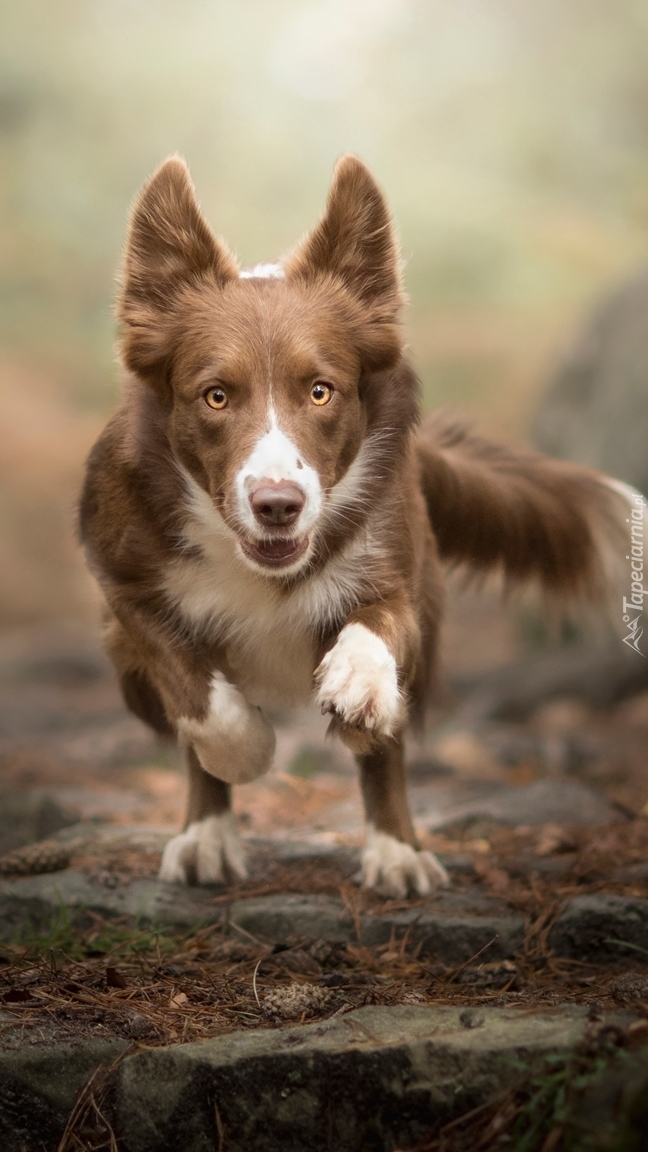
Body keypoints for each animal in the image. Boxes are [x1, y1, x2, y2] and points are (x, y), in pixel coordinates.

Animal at [80, 150, 636, 898]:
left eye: (321, 391)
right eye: (215, 396)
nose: (278, 504)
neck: (261, 569)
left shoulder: (398, 574)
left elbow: (377, 629)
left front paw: (359, 683)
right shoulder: (123, 586)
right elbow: (194, 688)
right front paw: (246, 748)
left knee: (385, 753)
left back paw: (396, 848)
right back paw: (207, 836)